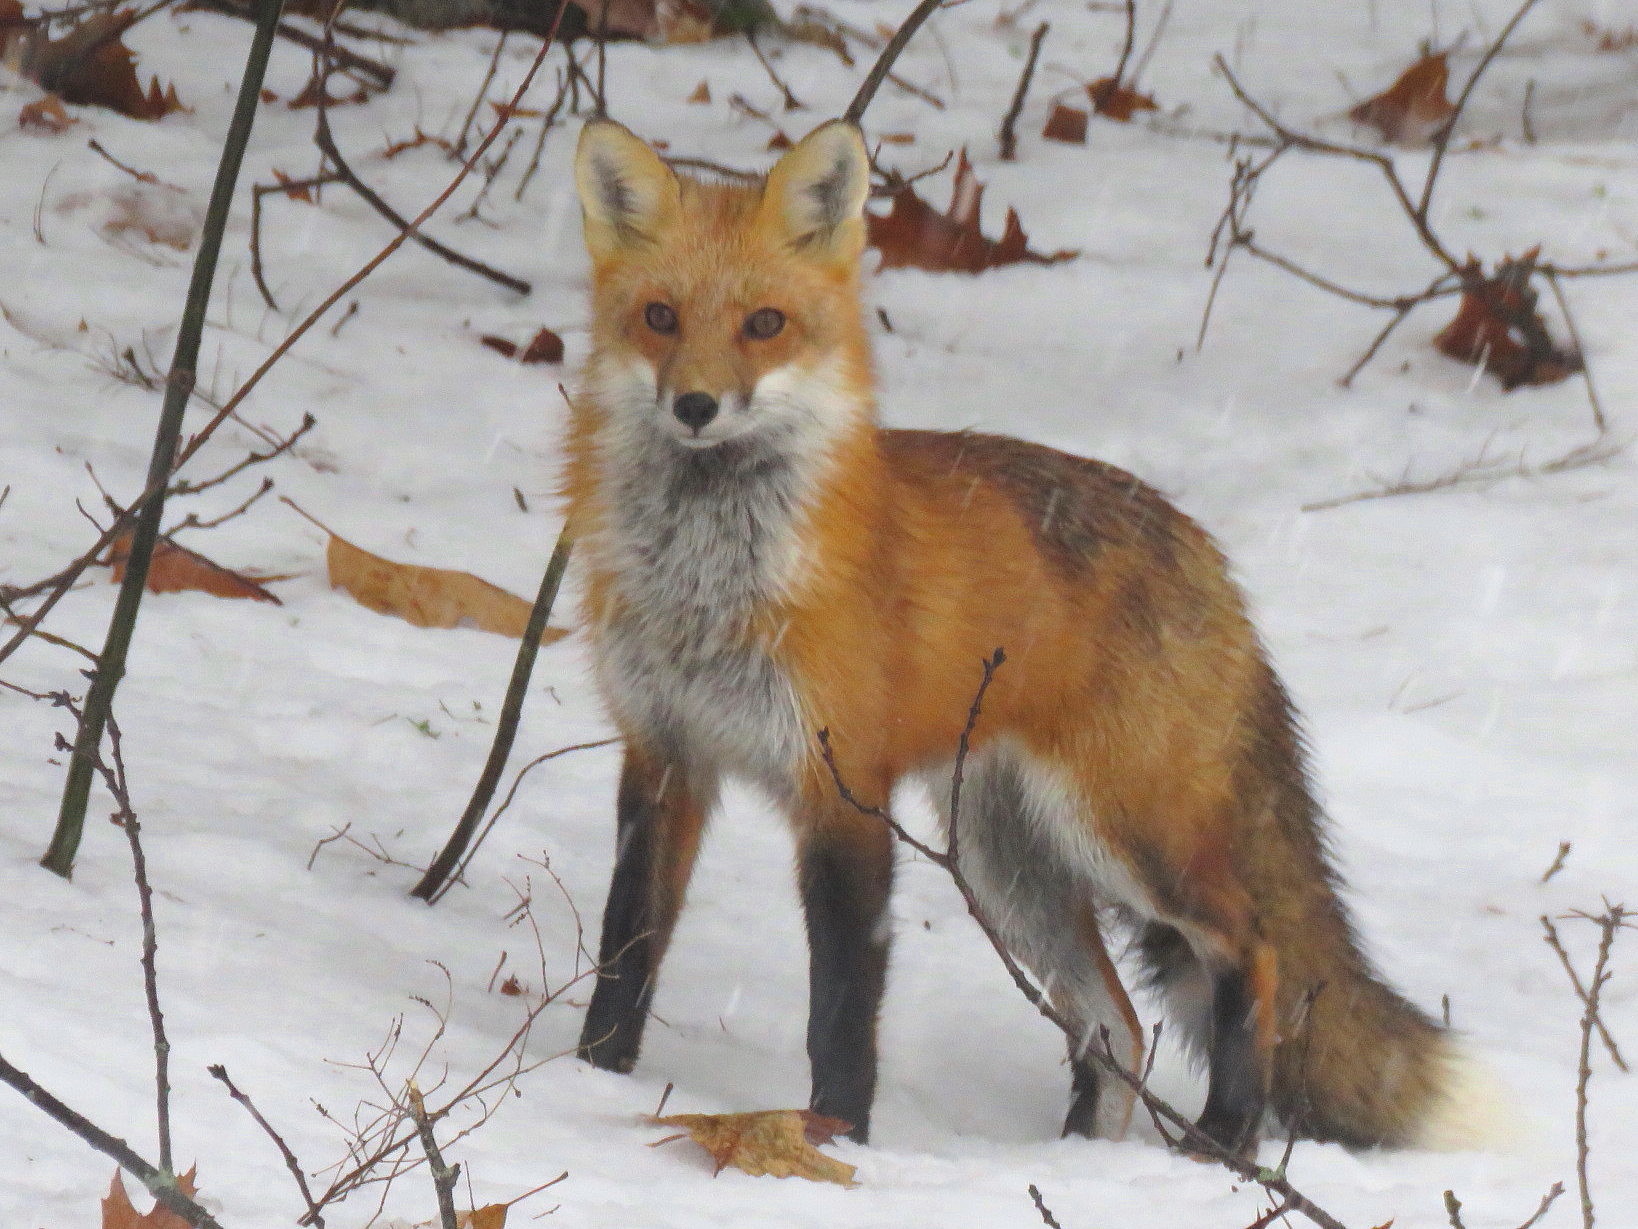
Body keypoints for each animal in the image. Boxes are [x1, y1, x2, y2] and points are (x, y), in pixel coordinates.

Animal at [564, 115, 1495, 1153]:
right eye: (659, 317)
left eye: (764, 324)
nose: (695, 406)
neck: (707, 586)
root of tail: (1213, 559)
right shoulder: (664, 754)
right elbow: (625, 955)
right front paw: (587, 1080)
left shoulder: (843, 788)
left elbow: (841, 1006)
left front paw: (835, 1138)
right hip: (1005, 862)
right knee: (1118, 1022)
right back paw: (1085, 1156)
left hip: (1125, 834)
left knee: (1252, 950)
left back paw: (1222, 1139)